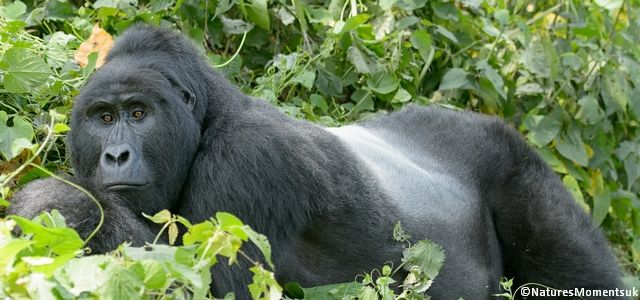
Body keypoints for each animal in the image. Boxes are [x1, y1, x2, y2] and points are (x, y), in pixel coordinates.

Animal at [7, 25, 624, 298]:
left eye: (139, 114)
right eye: (103, 117)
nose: (116, 153)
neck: (209, 115)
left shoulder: (248, 162)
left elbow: (213, 283)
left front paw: (57, 203)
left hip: (509, 156)